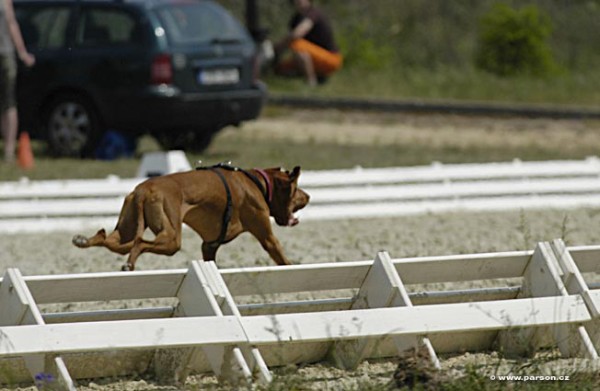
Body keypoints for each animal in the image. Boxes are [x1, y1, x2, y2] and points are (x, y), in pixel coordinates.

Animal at [71, 164, 310, 272]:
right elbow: (283, 259)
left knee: (108, 240)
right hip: (171, 239)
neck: (258, 182)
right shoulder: (267, 237)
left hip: (127, 228)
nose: (308, 196)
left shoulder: (209, 245)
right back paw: (129, 264)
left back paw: (84, 240)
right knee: (139, 243)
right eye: (297, 189)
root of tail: (144, 189)